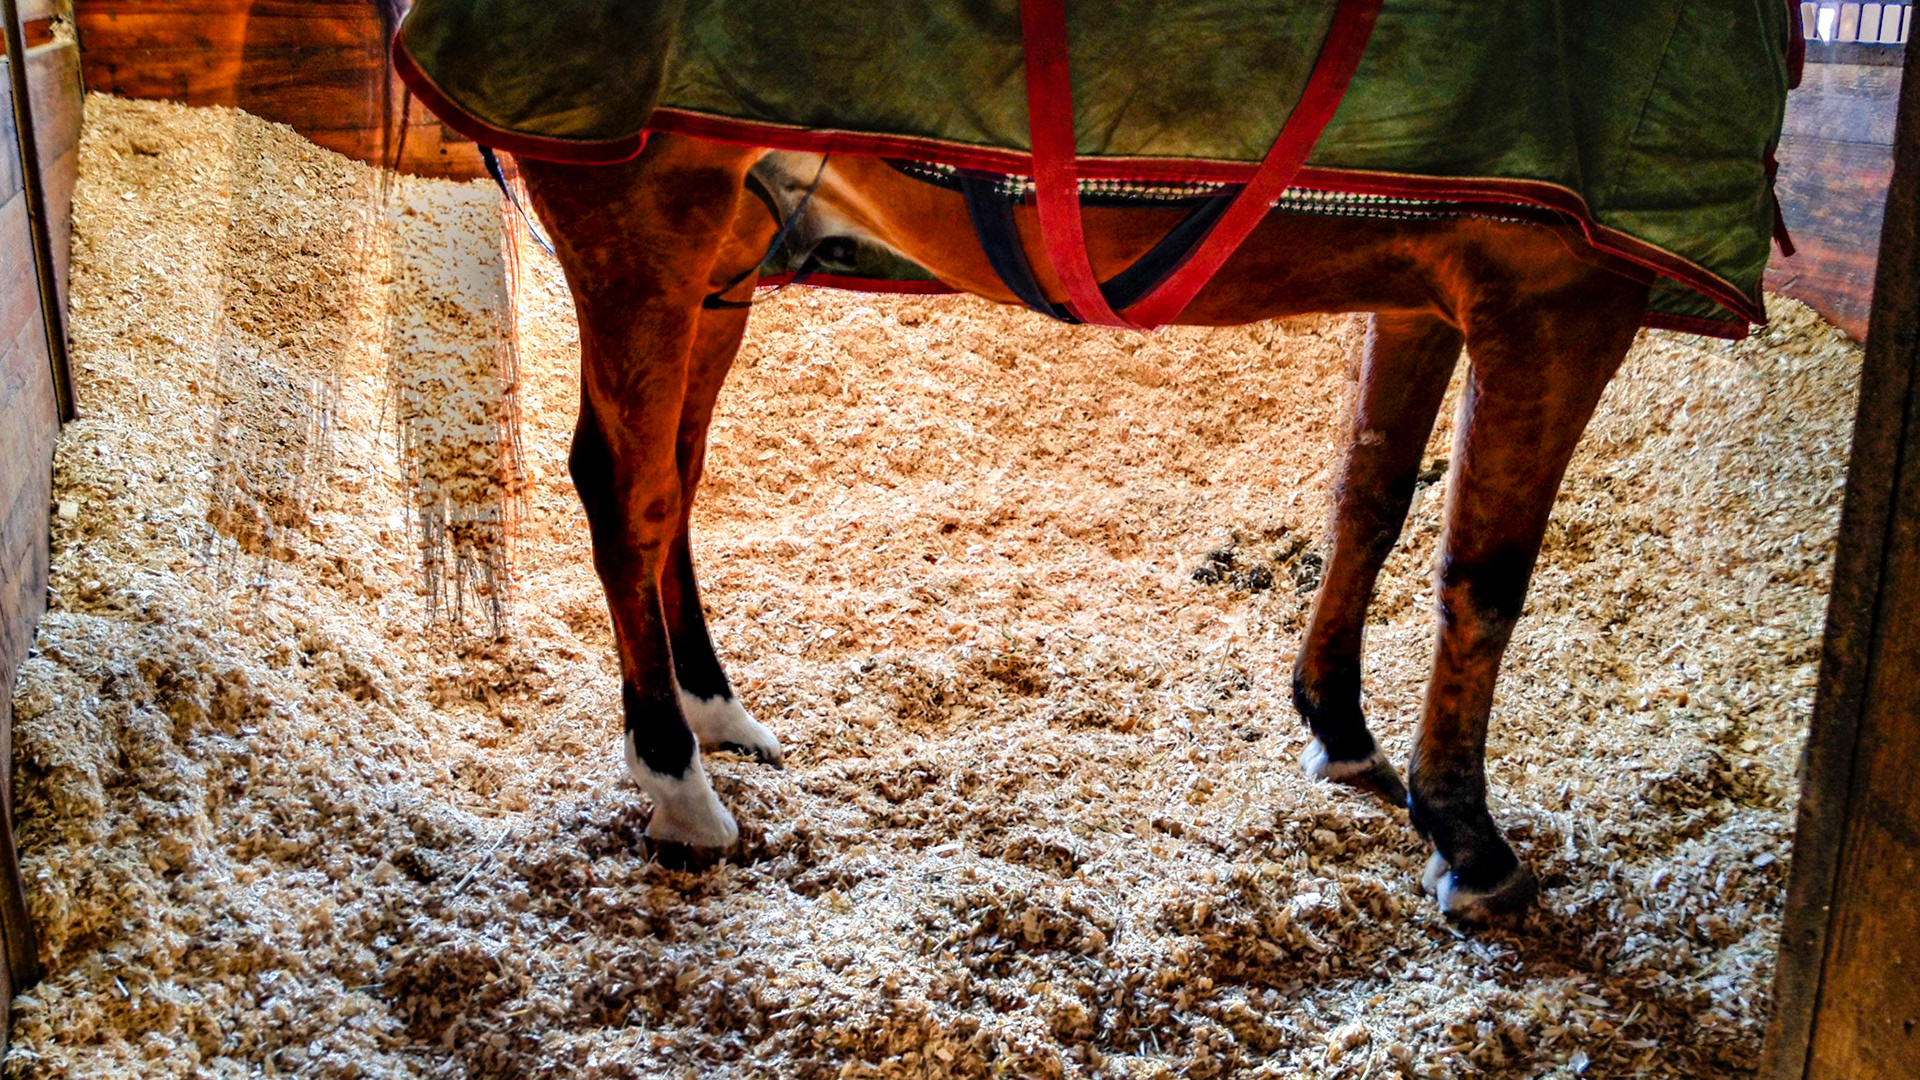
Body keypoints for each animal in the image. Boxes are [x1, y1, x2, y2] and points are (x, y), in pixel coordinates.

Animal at [508, 133, 1665, 923]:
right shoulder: (1560, 292)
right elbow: (1486, 578)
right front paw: (1468, 839)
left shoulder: (1427, 290)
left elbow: (1371, 497)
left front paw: (1340, 727)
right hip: (640, 216)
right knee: (624, 486)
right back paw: (678, 785)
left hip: (727, 246)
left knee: (675, 474)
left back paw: (714, 712)